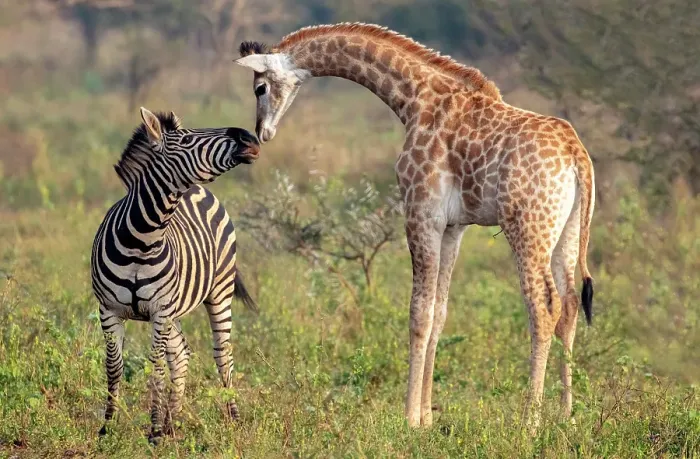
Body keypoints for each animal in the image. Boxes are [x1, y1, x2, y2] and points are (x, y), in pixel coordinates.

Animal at [91, 107, 260, 444]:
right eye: (184, 139)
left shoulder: (159, 310)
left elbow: (155, 368)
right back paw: (173, 422)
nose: (249, 137)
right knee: (181, 355)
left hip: (218, 292)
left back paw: (231, 418)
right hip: (175, 309)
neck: (142, 239)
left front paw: (154, 431)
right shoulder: (109, 309)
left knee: (223, 355)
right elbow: (114, 366)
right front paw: (108, 428)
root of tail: (197, 188)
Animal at [234, 23, 595, 428]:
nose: (262, 132)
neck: (413, 99)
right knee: (569, 305)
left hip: (528, 228)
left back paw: (529, 422)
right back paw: (566, 416)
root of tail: (576, 155)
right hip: (567, 233)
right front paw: (426, 417)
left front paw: (409, 419)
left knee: (544, 306)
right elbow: (439, 313)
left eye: (260, 87)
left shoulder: (421, 213)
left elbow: (418, 314)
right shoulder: (453, 227)